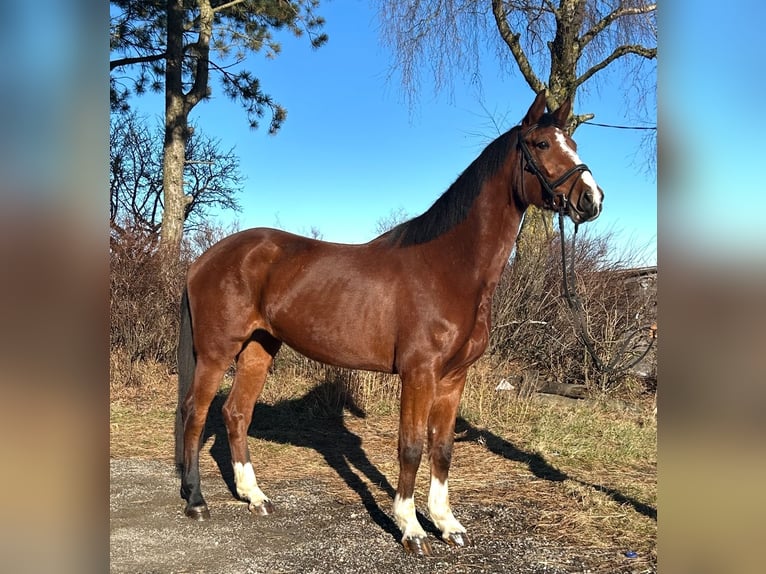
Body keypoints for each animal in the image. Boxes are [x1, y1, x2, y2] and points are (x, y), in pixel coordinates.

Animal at [176, 93, 608, 560]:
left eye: (574, 142)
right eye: (542, 144)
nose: (592, 198)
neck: (450, 268)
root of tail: (203, 260)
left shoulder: (454, 378)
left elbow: (442, 448)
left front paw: (447, 524)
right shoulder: (419, 374)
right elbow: (412, 447)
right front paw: (411, 529)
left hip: (259, 347)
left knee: (236, 413)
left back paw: (255, 497)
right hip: (216, 351)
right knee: (195, 413)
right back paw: (196, 501)